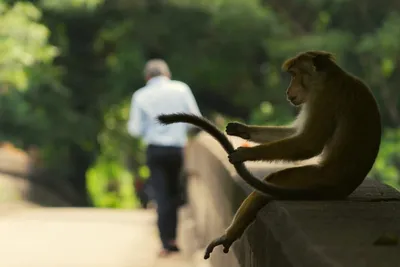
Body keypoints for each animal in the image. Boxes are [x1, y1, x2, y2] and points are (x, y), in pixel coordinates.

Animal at [155, 50, 382, 260]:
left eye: (295, 74)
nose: (288, 90)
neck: (330, 77)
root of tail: (343, 187)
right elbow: (295, 133)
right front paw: (243, 130)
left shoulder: (324, 97)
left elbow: (309, 144)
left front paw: (245, 153)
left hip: (317, 178)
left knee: (271, 184)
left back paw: (230, 233)